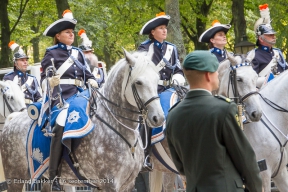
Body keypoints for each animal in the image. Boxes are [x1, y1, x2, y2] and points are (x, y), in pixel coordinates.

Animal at [0, 50, 164, 192]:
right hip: (15, 178)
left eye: (157, 80)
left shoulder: (126, 185)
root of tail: (12, 120)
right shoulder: (109, 184)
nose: (159, 118)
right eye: (138, 82)